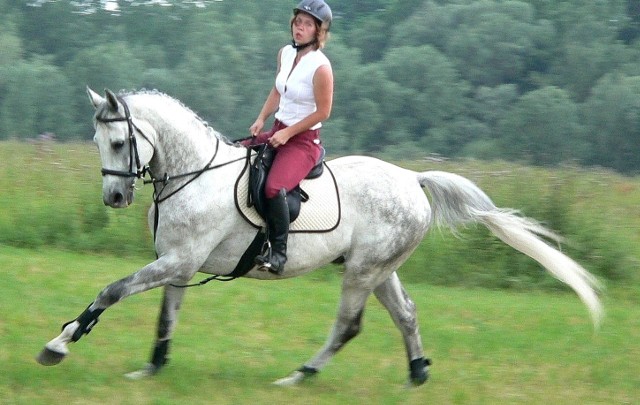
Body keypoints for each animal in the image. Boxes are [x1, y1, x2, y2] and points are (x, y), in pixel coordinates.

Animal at [36, 87, 604, 386]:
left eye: (118, 141)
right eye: (96, 141)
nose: (114, 198)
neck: (195, 174)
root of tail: (414, 179)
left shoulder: (176, 262)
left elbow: (112, 290)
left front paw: (60, 343)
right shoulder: (179, 264)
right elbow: (165, 317)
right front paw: (152, 369)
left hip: (362, 271)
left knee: (349, 325)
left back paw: (300, 375)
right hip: (378, 269)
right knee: (407, 314)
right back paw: (417, 373)